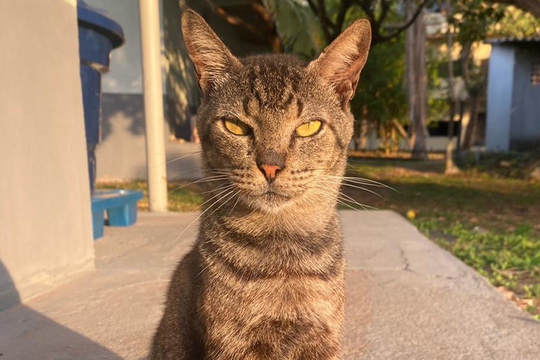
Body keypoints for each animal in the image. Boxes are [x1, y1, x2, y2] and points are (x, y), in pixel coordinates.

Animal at [152, 8, 372, 360]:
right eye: (235, 126)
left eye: (309, 127)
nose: (270, 166)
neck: (283, 251)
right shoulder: (233, 342)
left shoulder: (321, 337)